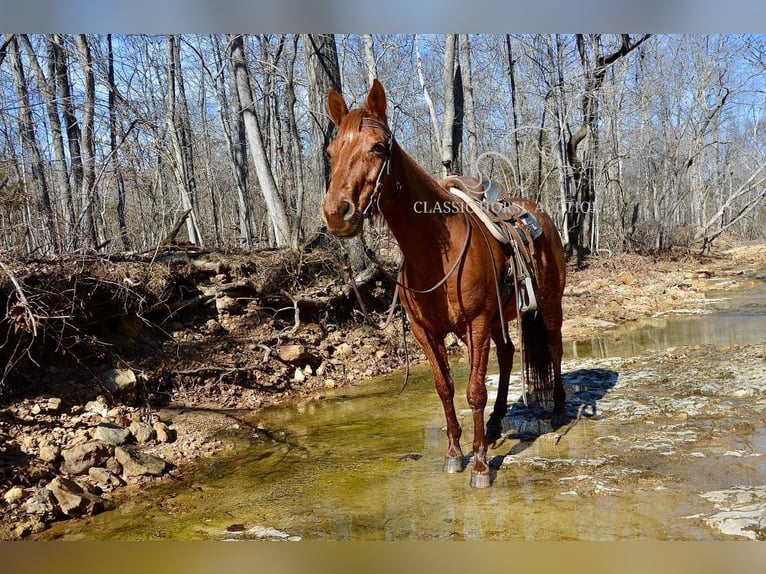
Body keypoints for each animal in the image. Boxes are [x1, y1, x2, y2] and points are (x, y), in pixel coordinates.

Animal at [320, 79, 568, 488]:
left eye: (378, 147)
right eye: (330, 152)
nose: (336, 213)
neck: (437, 254)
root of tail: (541, 215)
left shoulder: (476, 324)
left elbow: (474, 391)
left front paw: (481, 465)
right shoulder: (427, 332)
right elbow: (445, 388)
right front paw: (455, 453)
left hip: (549, 304)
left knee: (554, 349)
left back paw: (560, 411)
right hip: (500, 318)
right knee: (507, 353)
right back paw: (497, 421)